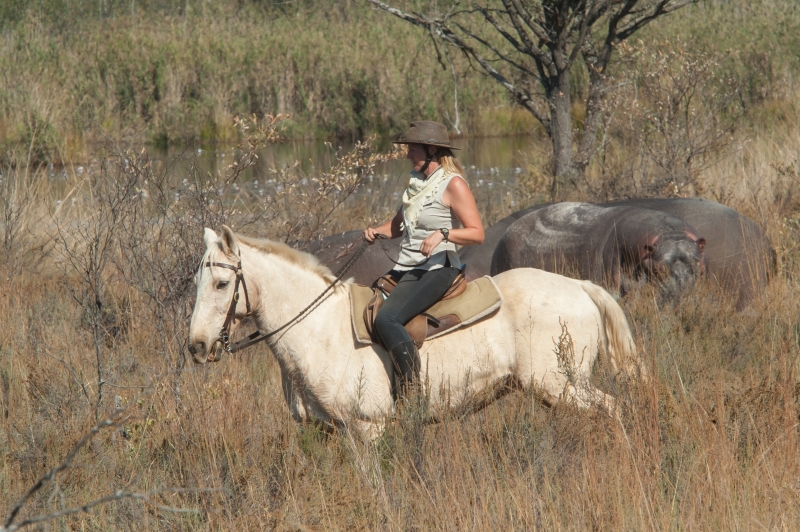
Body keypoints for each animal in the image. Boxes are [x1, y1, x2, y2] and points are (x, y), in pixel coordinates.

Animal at [191, 225, 648, 436]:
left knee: (614, 409)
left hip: (562, 383)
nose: (196, 346)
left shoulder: (369, 428)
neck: (318, 330)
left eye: (222, 283)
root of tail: (581, 287)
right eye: (198, 281)